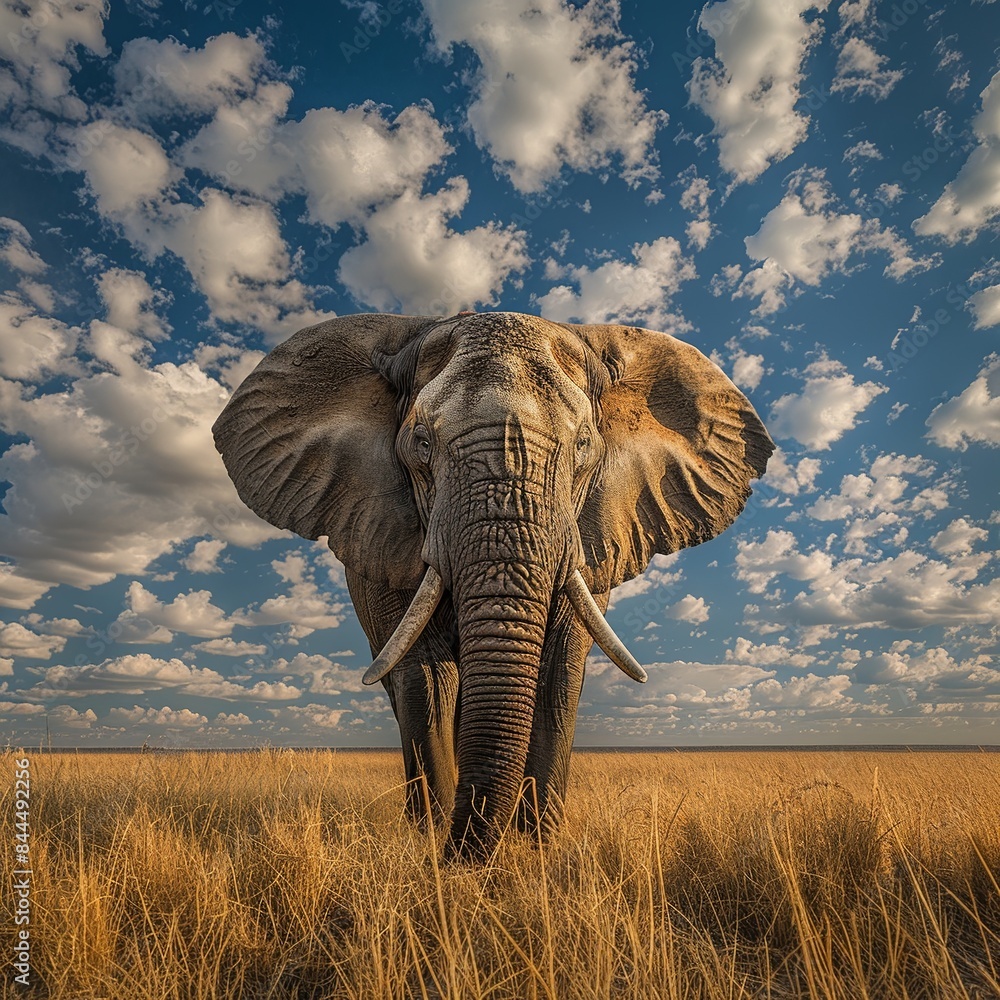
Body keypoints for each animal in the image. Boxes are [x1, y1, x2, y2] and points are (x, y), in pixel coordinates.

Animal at [212, 311, 773, 860]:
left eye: (584, 445)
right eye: (421, 443)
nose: (462, 855)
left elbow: (558, 672)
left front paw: (537, 849)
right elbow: (426, 679)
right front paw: (435, 848)